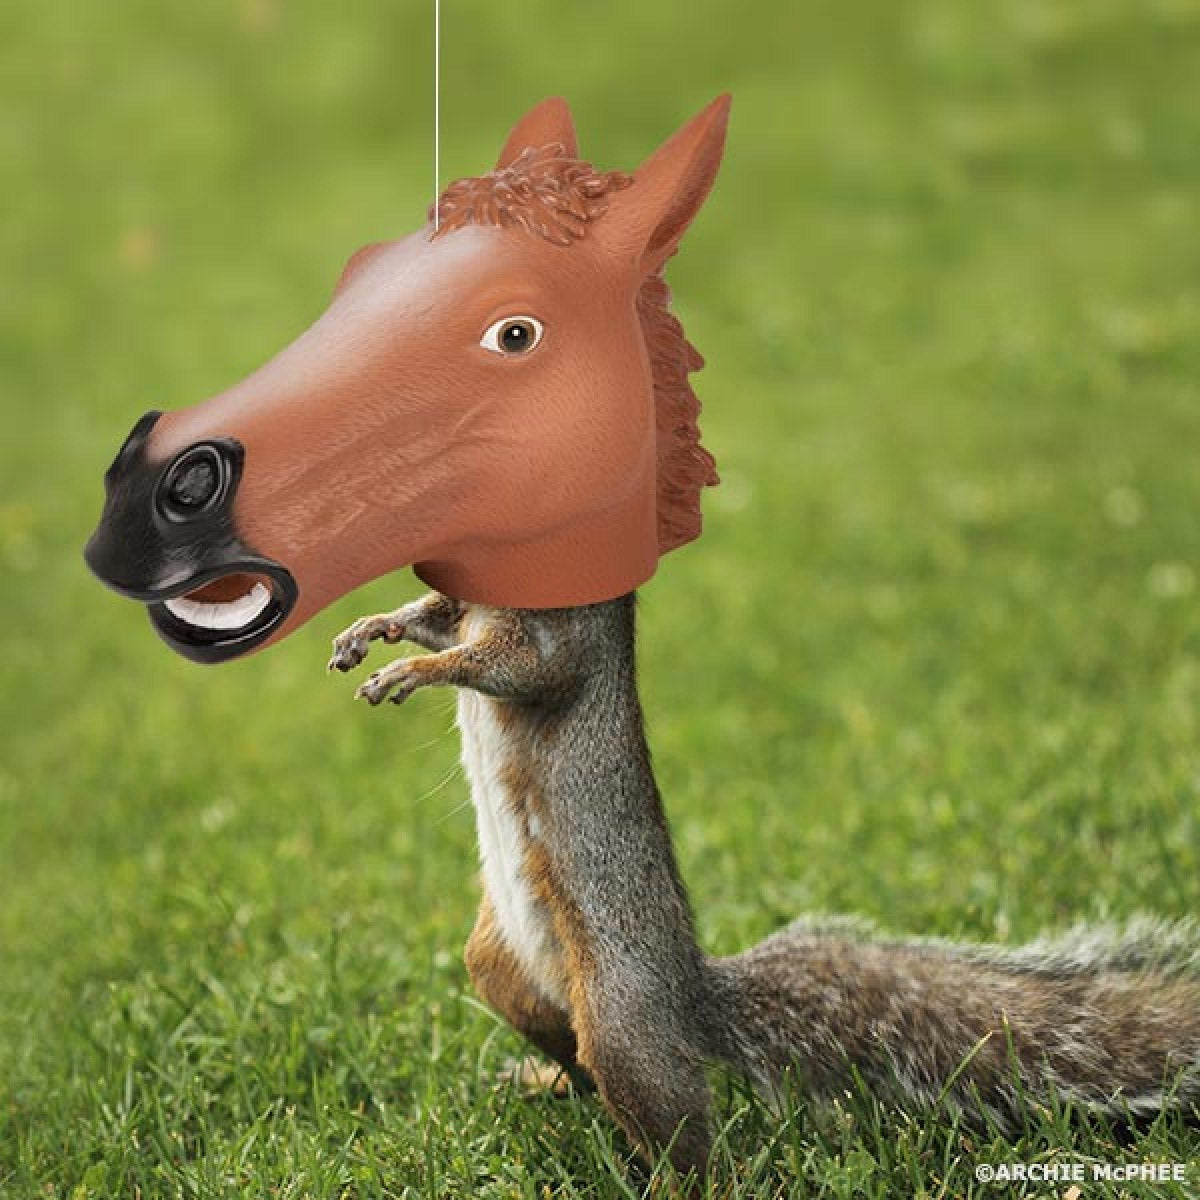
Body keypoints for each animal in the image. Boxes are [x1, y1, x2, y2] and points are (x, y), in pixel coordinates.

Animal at [329, 590, 1200, 1186]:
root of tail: (690, 995)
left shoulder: (560, 629)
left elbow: (515, 664)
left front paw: (411, 670)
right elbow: (442, 619)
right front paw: (375, 630)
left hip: (622, 1017)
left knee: (679, 1133)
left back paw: (689, 1180)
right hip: (501, 970)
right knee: (572, 1057)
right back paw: (543, 1083)